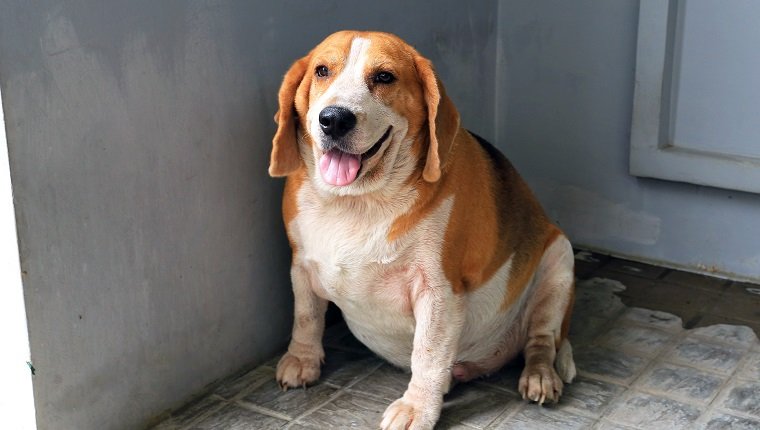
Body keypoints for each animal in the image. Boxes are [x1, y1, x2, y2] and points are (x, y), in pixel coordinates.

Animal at [270, 31, 572, 430]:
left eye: (384, 77)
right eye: (321, 70)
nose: (333, 119)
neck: (356, 202)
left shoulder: (438, 291)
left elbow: (427, 354)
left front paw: (417, 408)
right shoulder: (301, 265)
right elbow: (306, 317)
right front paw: (302, 359)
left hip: (559, 262)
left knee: (542, 341)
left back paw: (540, 376)